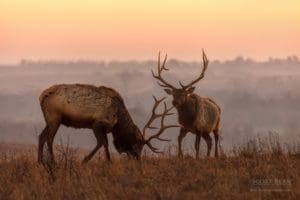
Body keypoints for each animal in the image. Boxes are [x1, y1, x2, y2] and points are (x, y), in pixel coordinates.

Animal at [37, 83, 178, 163]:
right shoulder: (97, 123)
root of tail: (42, 96)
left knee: (41, 136)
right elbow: (103, 143)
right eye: (137, 144)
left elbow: (104, 143)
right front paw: (88, 160)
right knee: (49, 138)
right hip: (55, 118)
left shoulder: (102, 128)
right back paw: (53, 162)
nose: (138, 160)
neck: (118, 121)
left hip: (49, 120)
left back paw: (40, 161)